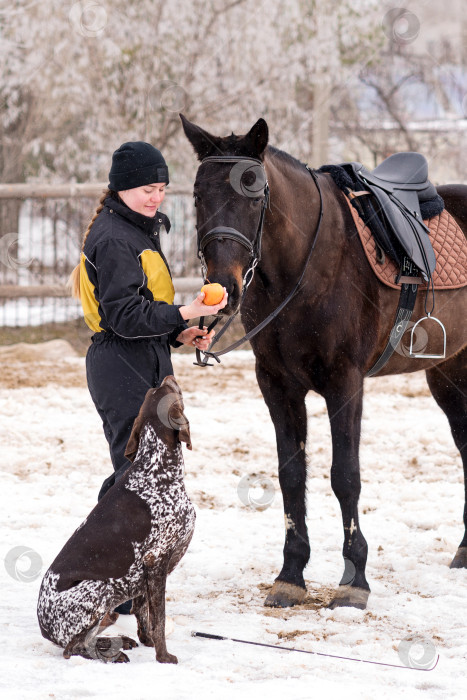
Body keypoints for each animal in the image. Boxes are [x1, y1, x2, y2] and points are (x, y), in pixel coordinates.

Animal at [37, 378, 196, 660]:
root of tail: (44, 627)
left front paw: (148, 642)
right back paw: (111, 654)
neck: (155, 469)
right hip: (100, 590)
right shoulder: (157, 560)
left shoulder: (145, 572)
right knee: (72, 648)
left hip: (107, 607)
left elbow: (144, 613)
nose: (167, 377)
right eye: (169, 391)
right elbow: (159, 618)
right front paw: (164, 657)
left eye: (154, 390)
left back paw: (115, 643)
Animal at [182, 113, 467, 608]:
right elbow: (292, 476)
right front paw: (291, 574)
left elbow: (344, 476)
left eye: (254, 194)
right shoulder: (276, 384)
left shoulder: (345, 382)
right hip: (448, 375)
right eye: (200, 195)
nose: (224, 286)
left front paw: (354, 581)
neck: (307, 265)